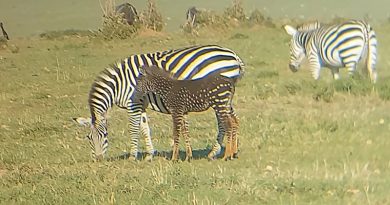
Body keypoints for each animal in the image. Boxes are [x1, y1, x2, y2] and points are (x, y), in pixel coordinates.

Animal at [73, 45, 244, 162]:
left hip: (218, 100)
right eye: (89, 137)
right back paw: (233, 151)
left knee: (223, 123)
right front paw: (149, 155)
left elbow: (134, 129)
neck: (119, 84)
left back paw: (214, 152)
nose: (98, 160)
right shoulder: (140, 105)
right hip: (225, 100)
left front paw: (132, 156)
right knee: (234, 119)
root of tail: (233, 55)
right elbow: (145, 129)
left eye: (104, 135)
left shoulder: (133, 103)